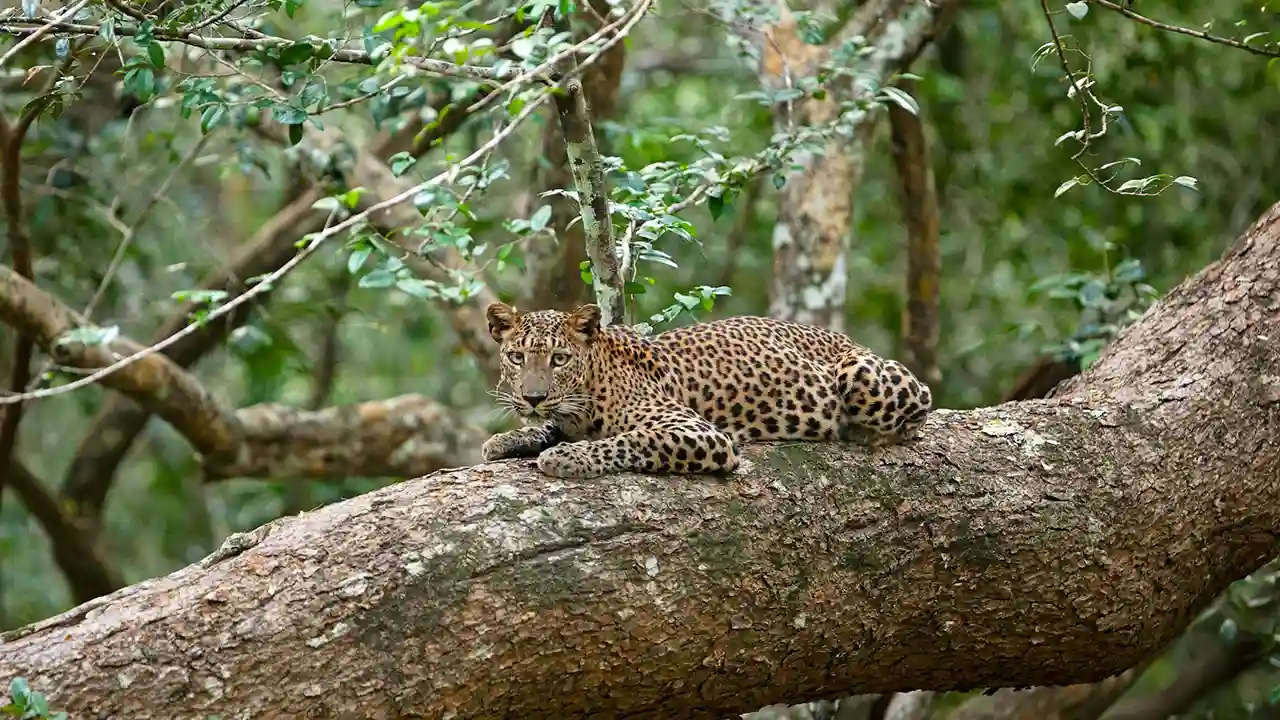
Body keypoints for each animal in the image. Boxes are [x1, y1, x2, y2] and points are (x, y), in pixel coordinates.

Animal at [480, 302, 934, 479]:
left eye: (559, 359)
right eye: (517, 357)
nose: (533, 398)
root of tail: (845, 338)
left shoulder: (700, 433)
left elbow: (629, 440)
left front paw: (568, 457)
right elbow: (545, 428)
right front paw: (508, 439)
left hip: (861, 375)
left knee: (921, 407)